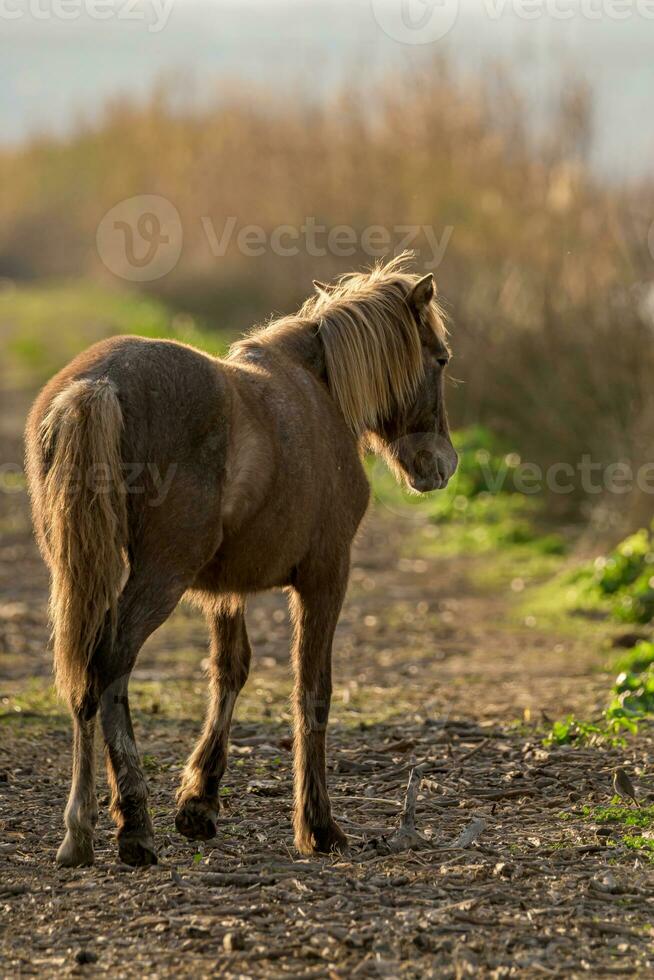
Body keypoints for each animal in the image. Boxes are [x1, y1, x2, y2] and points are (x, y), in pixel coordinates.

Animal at [24, 255, 456, 864]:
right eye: (439, 358)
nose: (439, 465)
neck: (318, 392)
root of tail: (97, 385)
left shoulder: (224, 588)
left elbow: (230, 671)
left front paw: (199, 802)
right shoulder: (326, 576)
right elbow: (312, 690)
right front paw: (318, 826)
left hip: (85, 572)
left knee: (84, 675)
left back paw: (79, 833)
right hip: (159, 577)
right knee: (110, 666)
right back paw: (132, 824)